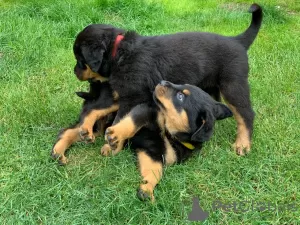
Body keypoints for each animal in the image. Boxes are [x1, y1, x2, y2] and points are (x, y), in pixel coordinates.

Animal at [72, 3, 262, 156]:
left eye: (80, 60)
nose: (74, 71)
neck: (118, 52)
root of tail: (237, 40)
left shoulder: (132, 98)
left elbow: (120, 120)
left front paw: (112, 145)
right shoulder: (126, 94)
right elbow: (104, 112)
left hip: (233, 85)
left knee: (246, 114)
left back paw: (242, 144)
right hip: (211, 86)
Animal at [104, 80, 233, 200]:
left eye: (180, 96)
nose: (162, 81)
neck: (169, 133)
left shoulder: (154, 152)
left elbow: (155, 170)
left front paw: (147, 189)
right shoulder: (148, 110)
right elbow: (131, 123)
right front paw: (115, 135)